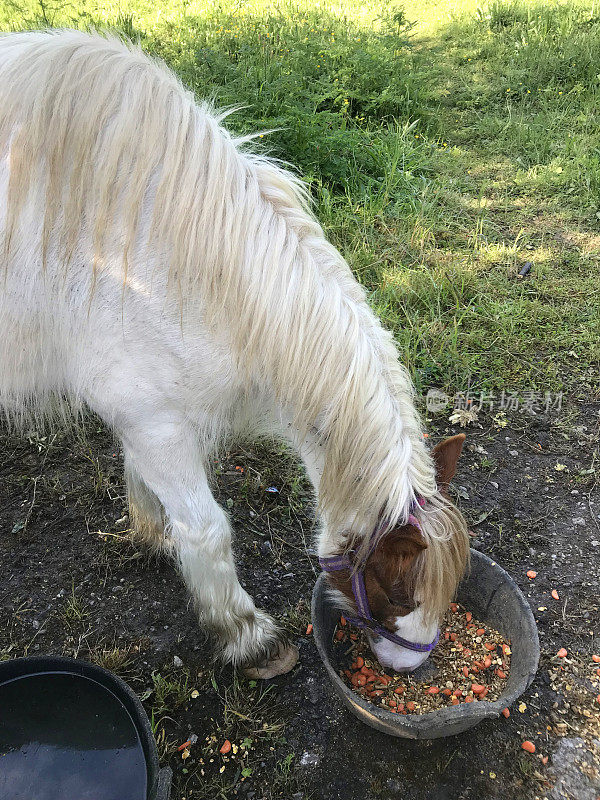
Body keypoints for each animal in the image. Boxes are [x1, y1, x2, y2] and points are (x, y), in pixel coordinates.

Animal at [0, 31, 468, 680]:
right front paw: (247, 636)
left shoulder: (147, 419)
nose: (409, 667)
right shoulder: (156, 421)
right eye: (398, 591)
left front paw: (154, 534)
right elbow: (206, 529)